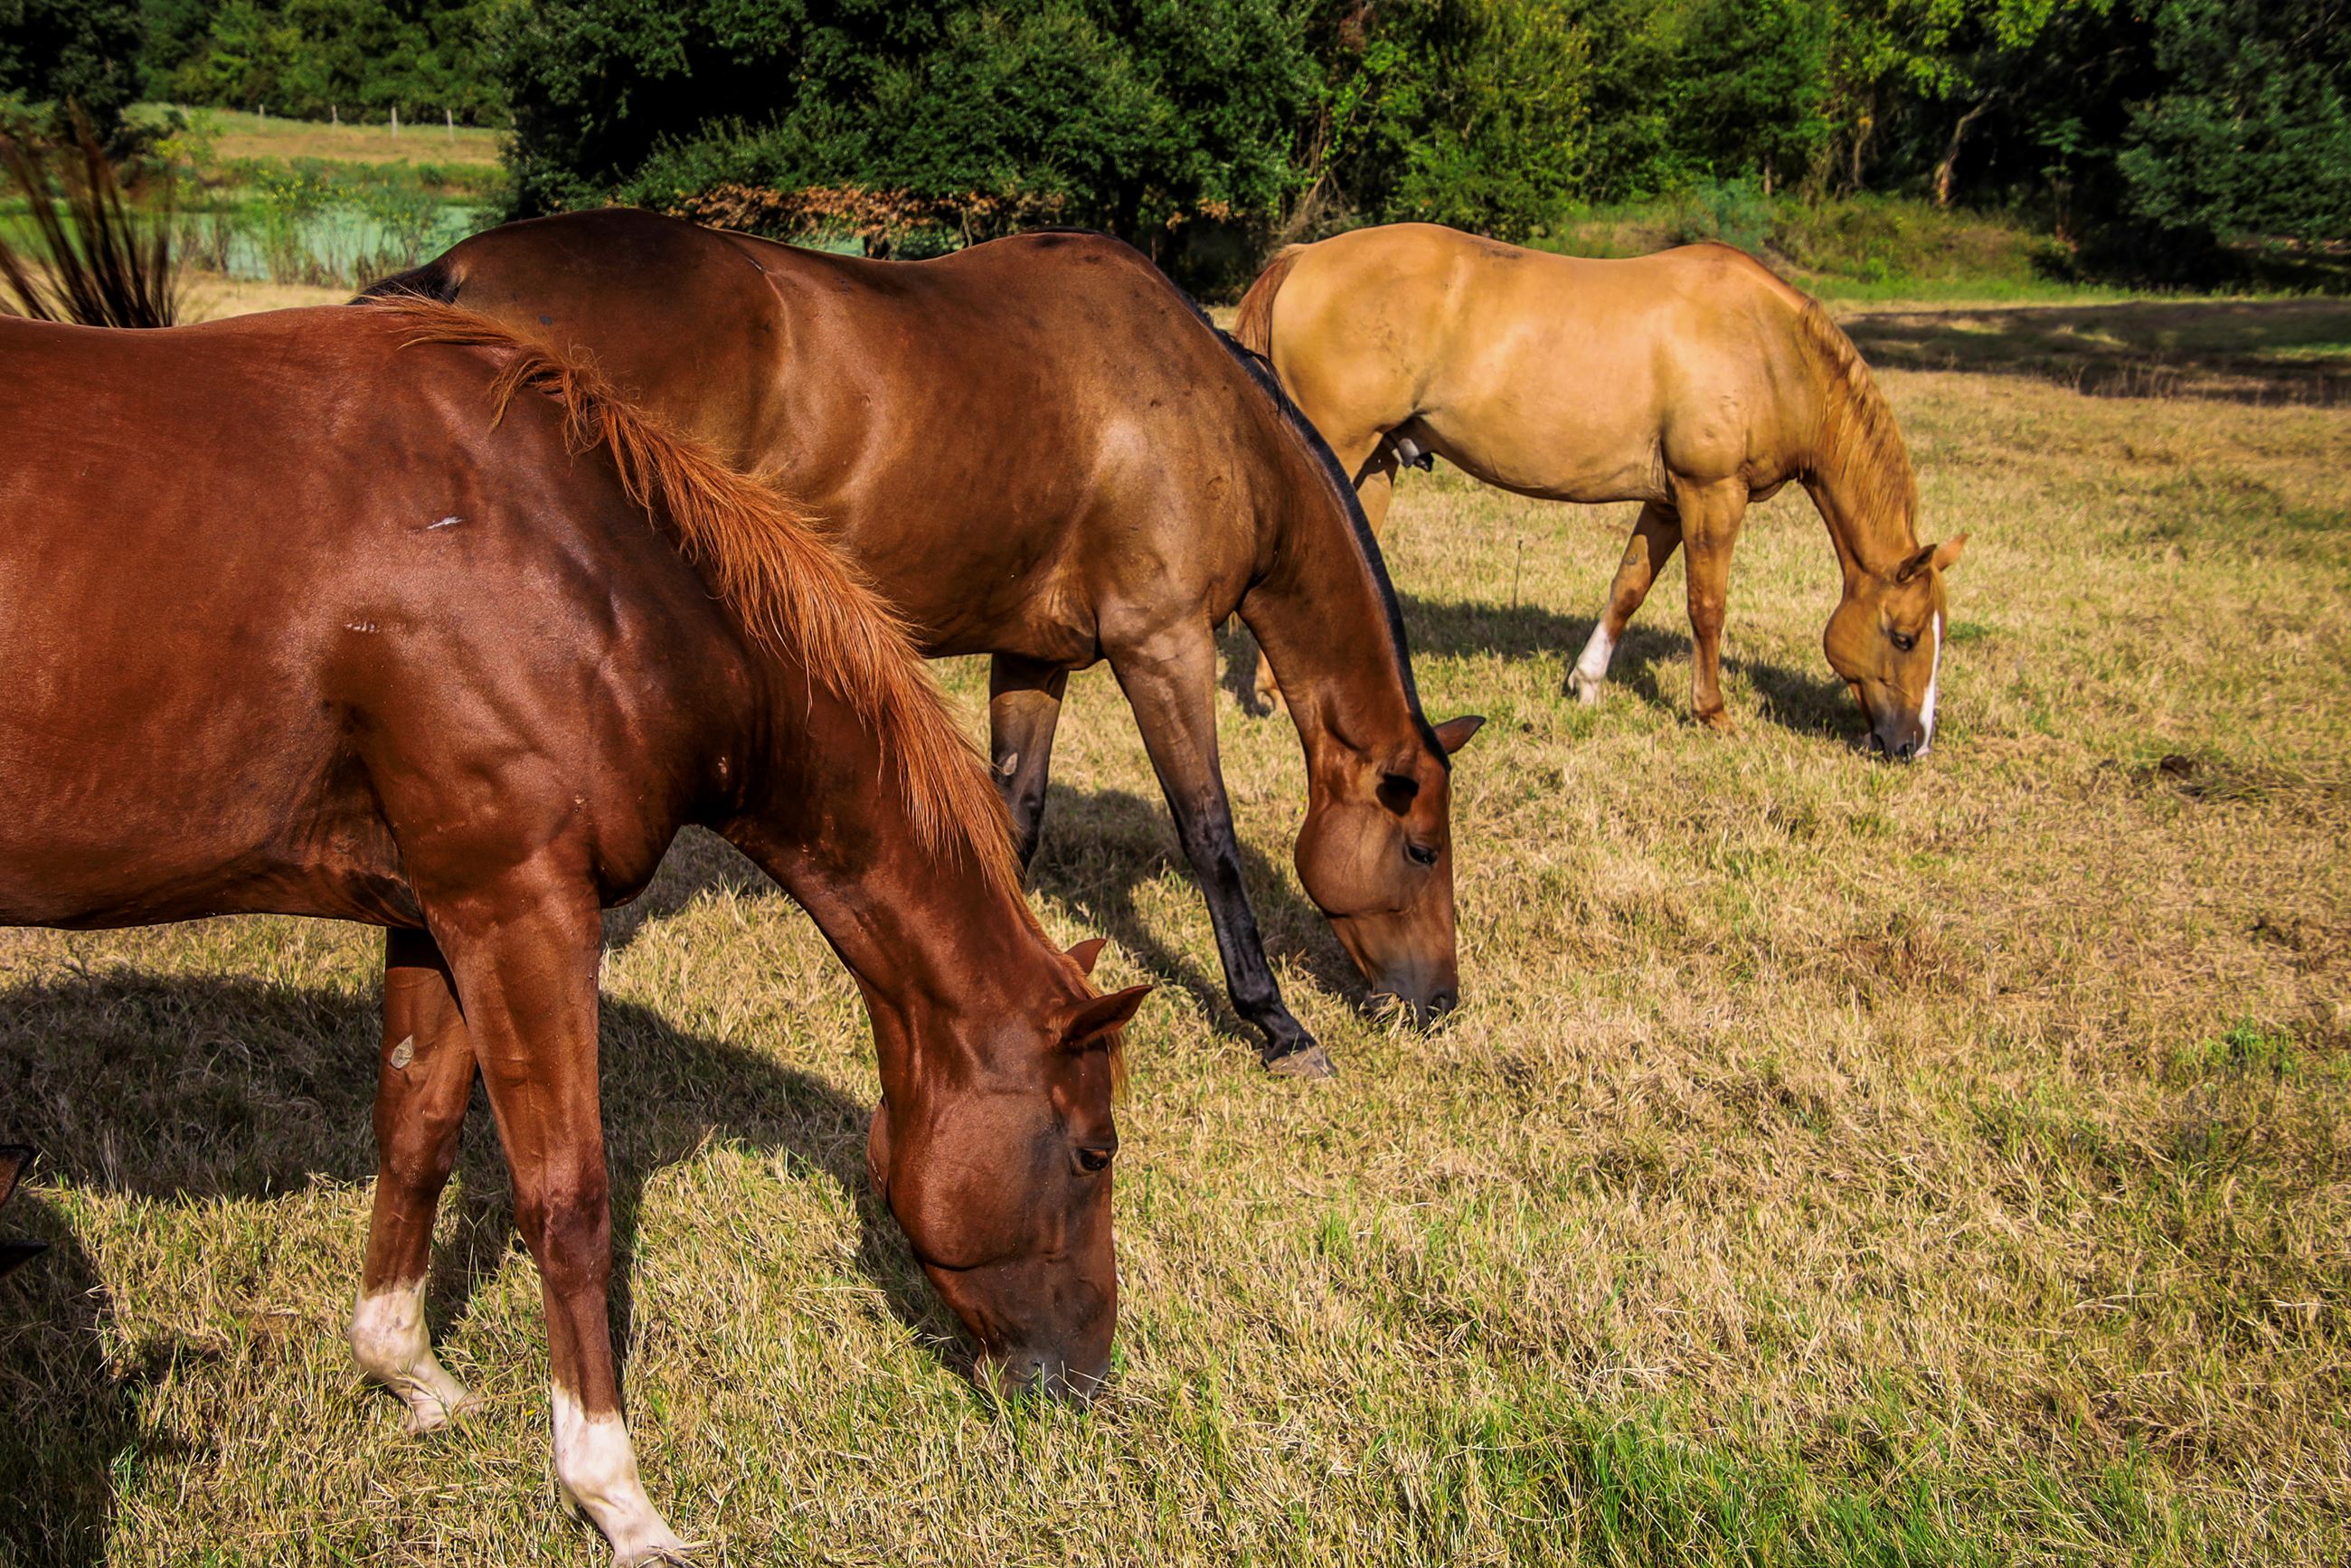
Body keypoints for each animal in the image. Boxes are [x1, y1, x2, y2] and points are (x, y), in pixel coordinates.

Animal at [0, 301, 1149, 1565]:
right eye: (1091, 1153)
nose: (1082, 1383)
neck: (574, 559)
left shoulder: (439, 910)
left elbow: (416, 1133)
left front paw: (404, 1373)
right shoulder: (523, 907)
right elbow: (568, 1201)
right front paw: (615, 1497)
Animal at [363, 210, 1484, 1076]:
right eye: (1420, 850)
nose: (1438, 1005)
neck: (1206, 410)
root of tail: (452, 278)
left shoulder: (1034, 655)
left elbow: (1010, 817)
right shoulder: (1160, 646)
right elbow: (1207, 836)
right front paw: (1276, 1022)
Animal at [1232, 223, 1967, 759]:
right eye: (1904, 637)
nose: (1913, 745)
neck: (1767, 347)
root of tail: (1305, 257)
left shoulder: (1668, 501)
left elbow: (1629, 587)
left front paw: (1586, 681)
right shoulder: (1712, 493)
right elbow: (1707, 606)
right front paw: (1714, 714)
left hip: (1379, 458)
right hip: (1341, 443)